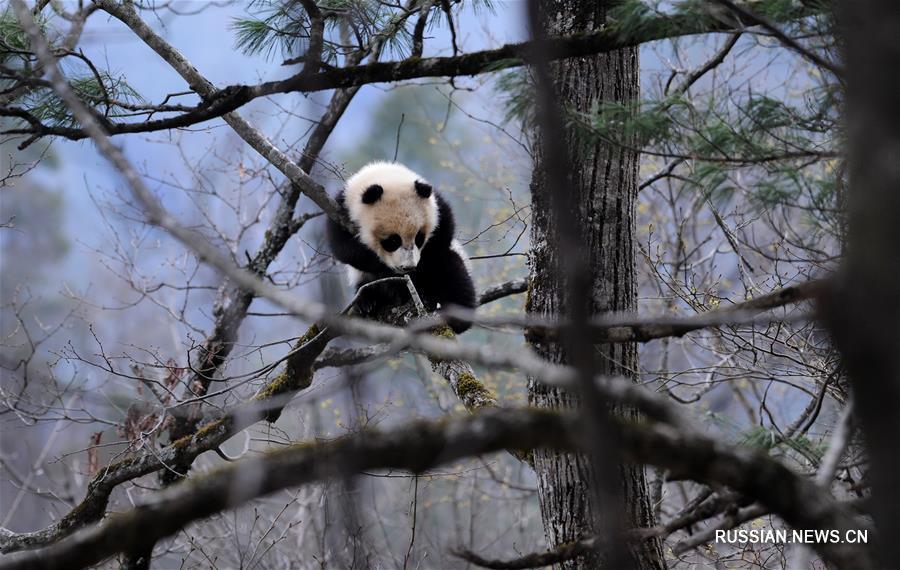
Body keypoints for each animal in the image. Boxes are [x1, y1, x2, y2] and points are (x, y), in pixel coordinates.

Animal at [326, 160, 478, 330]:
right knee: (366, 285)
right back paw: (367, 303)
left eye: (419, 238)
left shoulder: (437, 205)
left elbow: (443, 234)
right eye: (393, 241)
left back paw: (456, 315)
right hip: (364, 279)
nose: (408, 267)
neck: (387, 175)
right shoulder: (342, 208)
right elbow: (343, 248)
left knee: (453, 273)